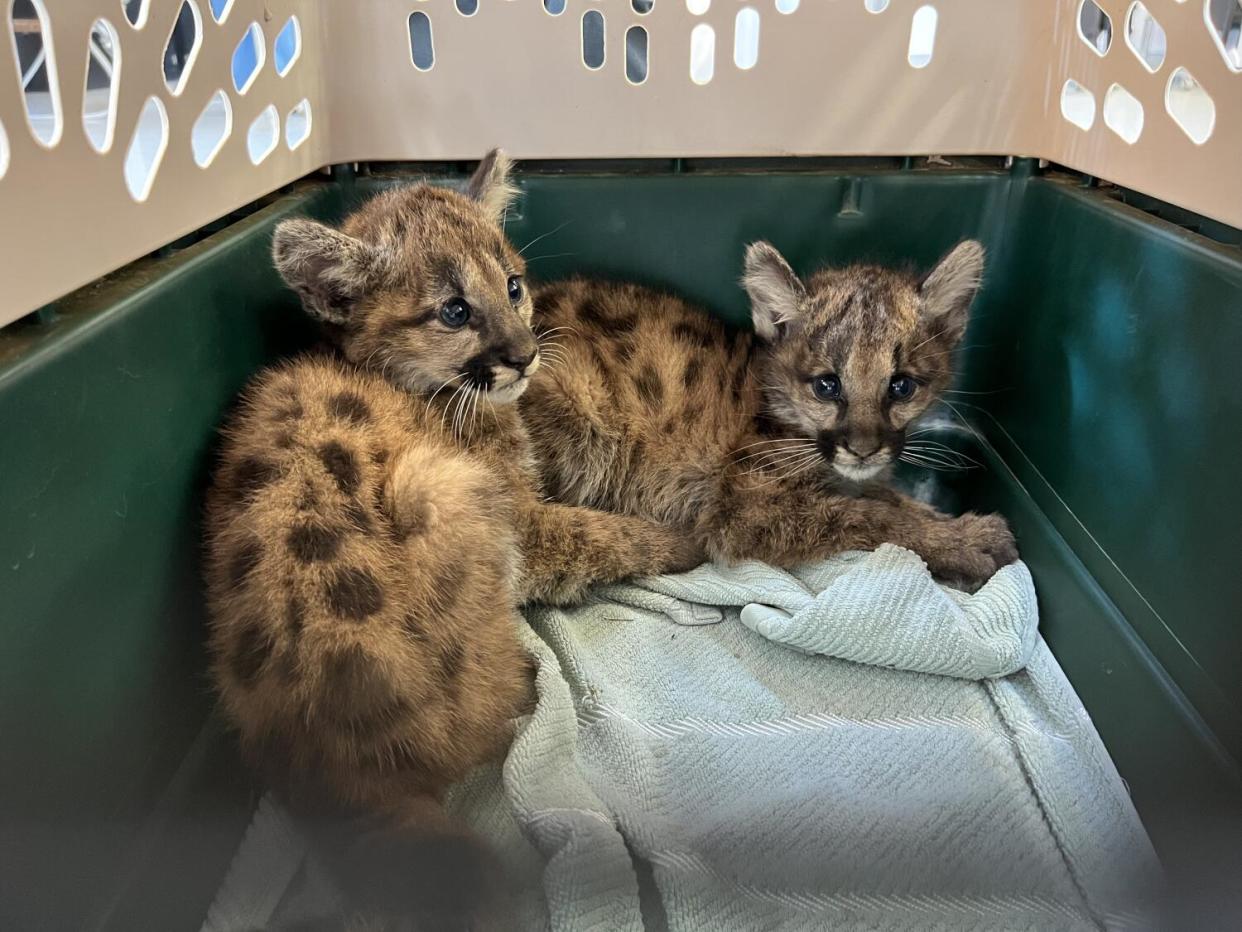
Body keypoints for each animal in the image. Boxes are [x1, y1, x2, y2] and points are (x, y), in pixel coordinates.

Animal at [524, 241, 1018, 591]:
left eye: (901, 386)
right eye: (827, 385)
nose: (862, 449)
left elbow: (883, 497)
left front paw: (942, 519)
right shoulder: (746, 508)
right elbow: (870, 517)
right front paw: (966, 542)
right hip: (577, 405)